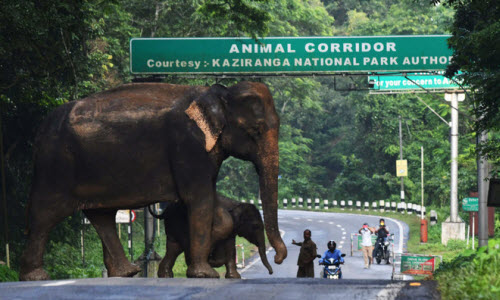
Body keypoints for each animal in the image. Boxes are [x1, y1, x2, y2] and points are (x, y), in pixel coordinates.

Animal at [19, 81, 288, 280]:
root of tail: (40, 129)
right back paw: (35, 277)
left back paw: (127, 272)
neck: (217, 94)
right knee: (45, 213)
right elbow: (199, 198)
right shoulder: (188, 145)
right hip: (55, 166)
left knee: (102, 215)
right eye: (256, 130)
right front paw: (205, 274)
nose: (278, 260)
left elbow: (208, 196)